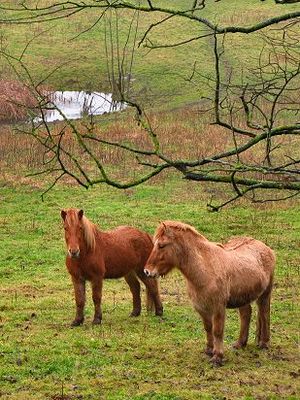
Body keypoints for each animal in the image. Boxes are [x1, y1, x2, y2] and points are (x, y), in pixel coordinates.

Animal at [144, 222, 276, 366]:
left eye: (162, 245)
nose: (147, 271)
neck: (205, 268)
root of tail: (266, 248)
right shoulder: (201, 307)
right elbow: (208, 328)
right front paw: (209, 350)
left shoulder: (218, 307)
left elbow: (217, 331)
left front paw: (217, 357)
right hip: (243, 297)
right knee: (246, 314)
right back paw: (240, 343)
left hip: (265, 294)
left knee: (264, 314)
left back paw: (264, 343)